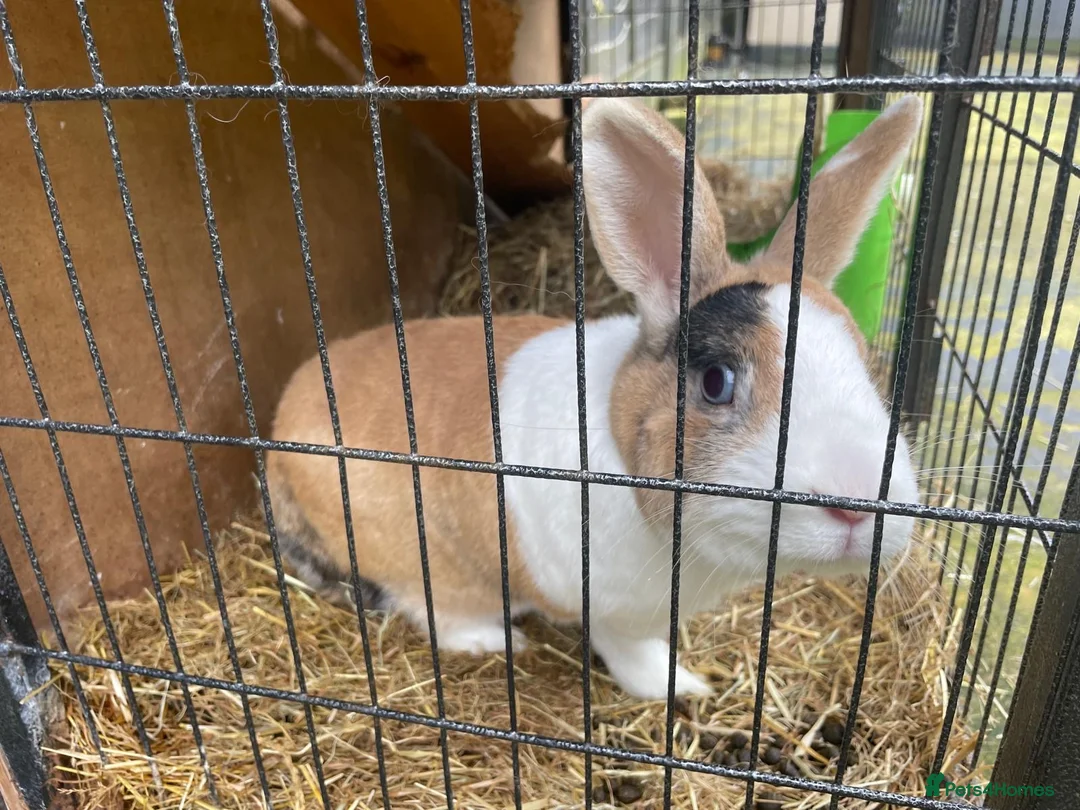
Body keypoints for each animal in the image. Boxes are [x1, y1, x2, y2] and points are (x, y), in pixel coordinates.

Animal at [266, 94, 924, 700]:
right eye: (716, 381)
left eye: (866, 364)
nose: (858, 505)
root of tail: (276, 433)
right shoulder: (610, 611)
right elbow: (632, 654)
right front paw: (685, 687)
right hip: (424, 561)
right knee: (432, 608)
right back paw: (496, 639)